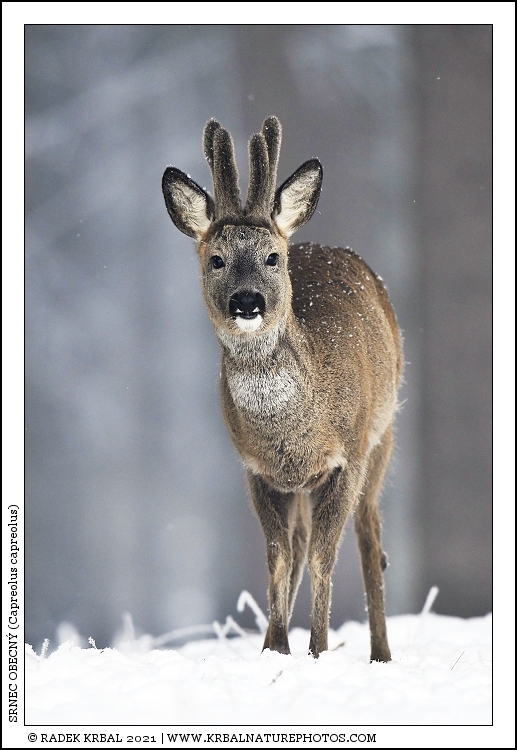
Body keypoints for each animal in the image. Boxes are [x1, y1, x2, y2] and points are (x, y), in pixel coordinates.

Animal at [162, 116, 403, 661]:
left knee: (369, 537)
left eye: (272, 257)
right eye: (216, 260)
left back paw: (381, 653)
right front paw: (275, 649)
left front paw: (316, 651)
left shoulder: (347, 457)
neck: (294, 435)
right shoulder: (258, 471)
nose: (247, 301)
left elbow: (323, 558)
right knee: (297, 543)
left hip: (384, 434)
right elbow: (278, 558)